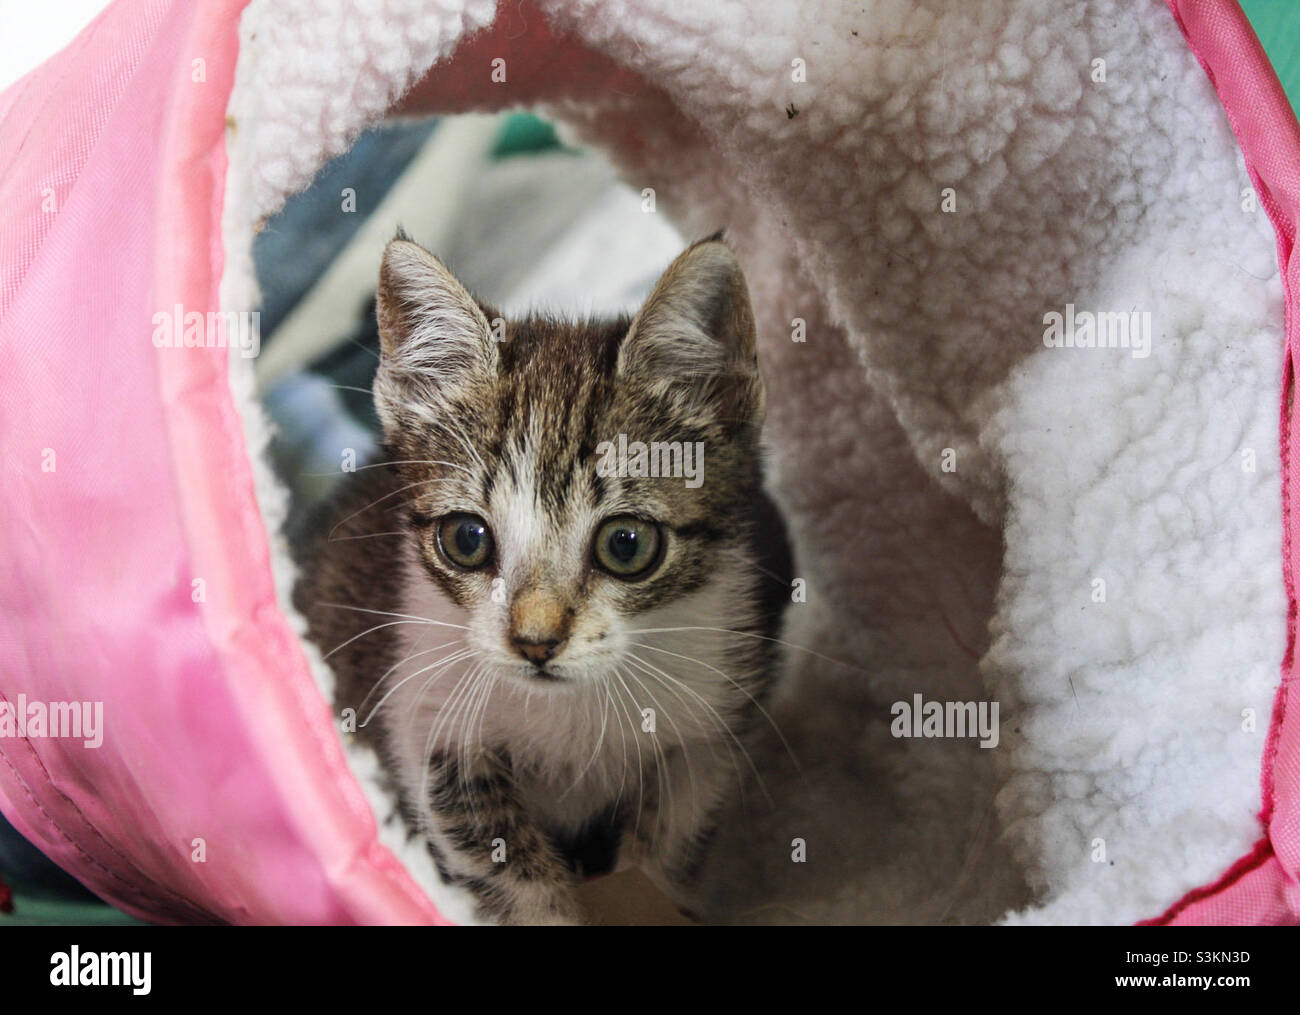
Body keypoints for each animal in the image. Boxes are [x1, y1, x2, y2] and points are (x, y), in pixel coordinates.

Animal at [296, 231, 790, 925]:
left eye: (627, 544)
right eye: (466, 539)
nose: (535, 642)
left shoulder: (713, 716)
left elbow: (669, 840)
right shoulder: (426, 715)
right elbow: (499, 864)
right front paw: (543, 905)